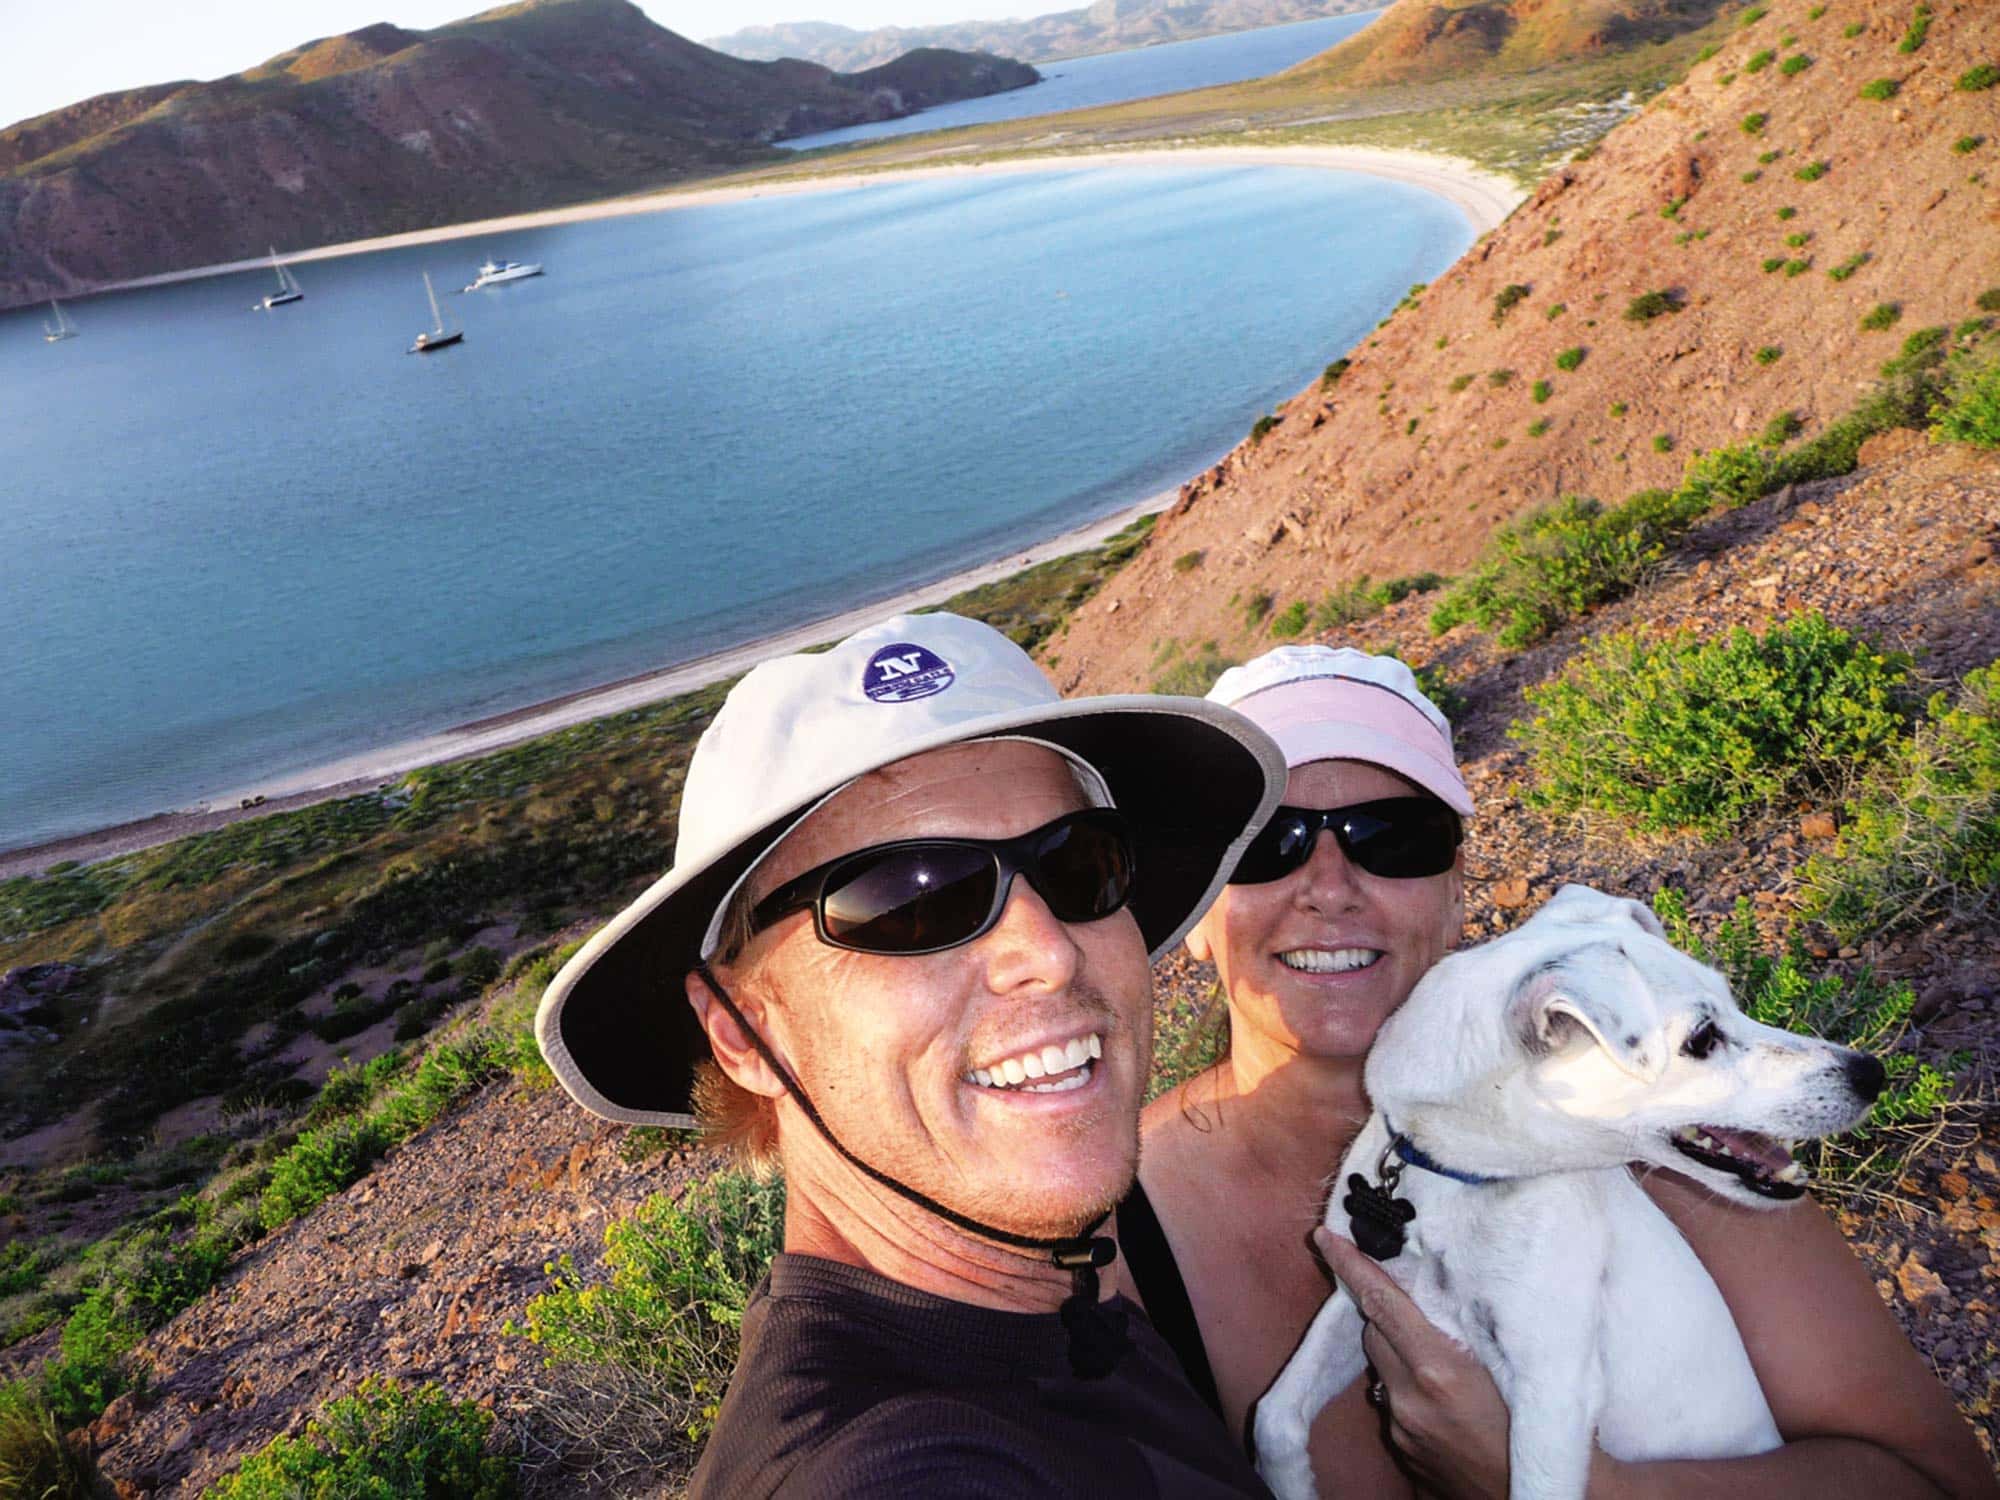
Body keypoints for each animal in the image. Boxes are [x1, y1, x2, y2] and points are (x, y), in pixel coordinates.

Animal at [1256, 888, 1880, 1496]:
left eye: (1733, 1000)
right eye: (1703, 1037)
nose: (1871, 1073)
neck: (1458, 1186)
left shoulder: (1551, 1396)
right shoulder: (1357, 1298)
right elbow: (1274, 1417)